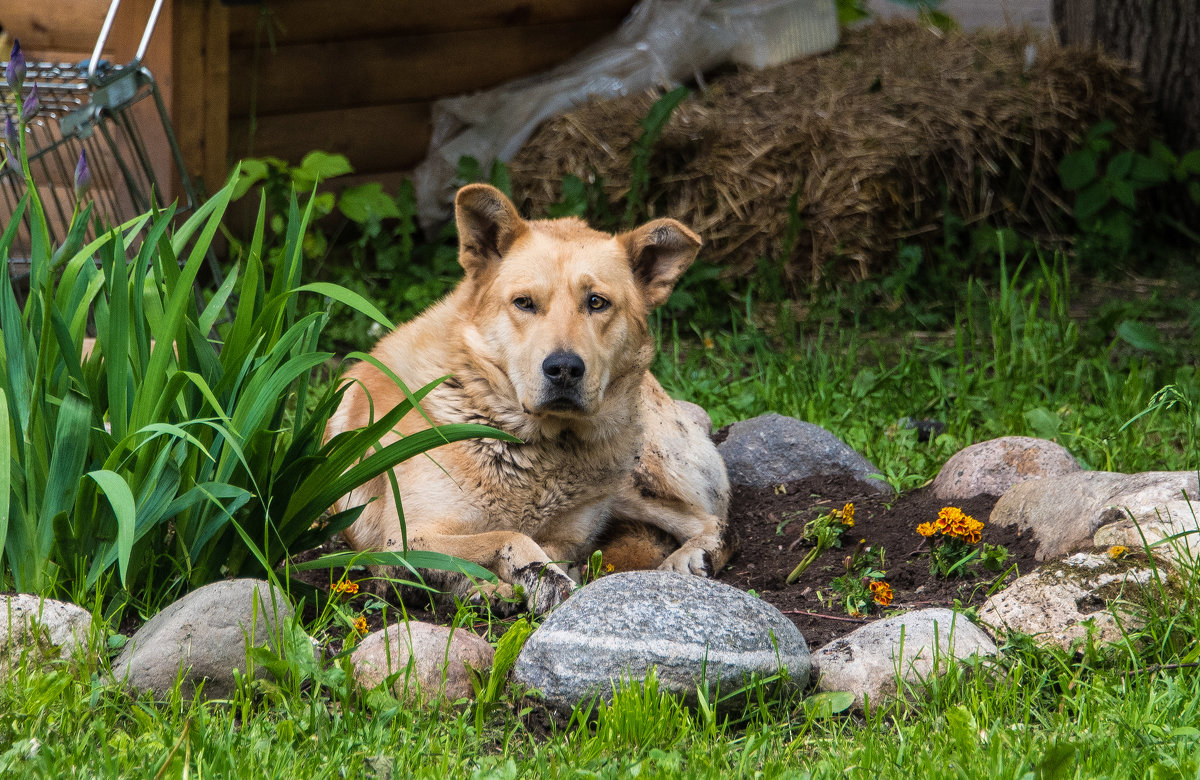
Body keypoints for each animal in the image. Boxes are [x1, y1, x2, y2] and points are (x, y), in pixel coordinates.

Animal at [328, 184, 734, 609]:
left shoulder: (570, 537)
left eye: (596, 302)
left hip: (634, 476)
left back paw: (695, 556)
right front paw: (514, 581)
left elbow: (535, 543)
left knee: (712, 522)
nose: (564, 369)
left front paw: (536, 577)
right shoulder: (400, 543)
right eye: (524, 302)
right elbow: (507, 536)